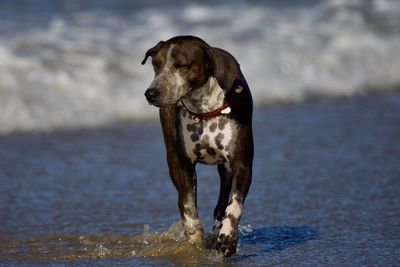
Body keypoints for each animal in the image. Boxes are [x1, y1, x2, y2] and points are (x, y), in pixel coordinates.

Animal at [141, 36, 253, 258]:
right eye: (155, 65)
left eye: (182, 65)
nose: (151, 93)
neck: (205, 110)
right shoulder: (178, 162)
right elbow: (187, 205)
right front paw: (194, 242)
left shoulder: (242, 163)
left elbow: (235, 204)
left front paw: (227, 238)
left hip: (227, 169)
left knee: (223, 202)